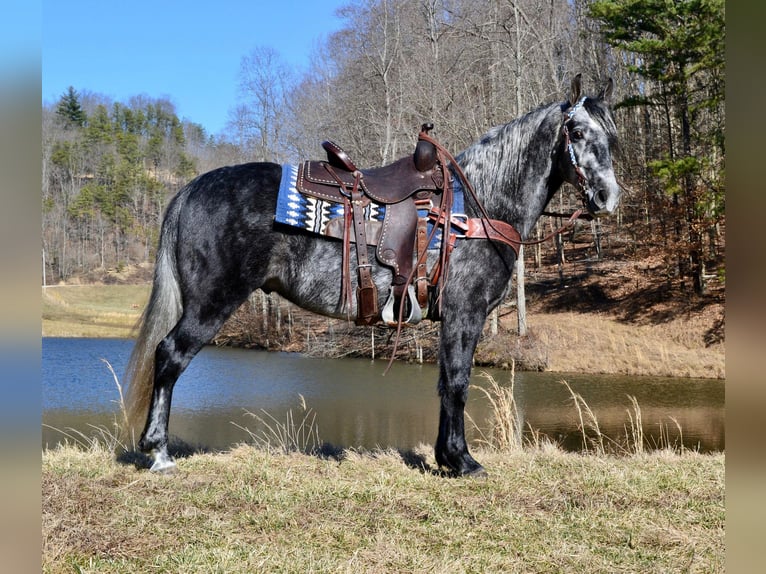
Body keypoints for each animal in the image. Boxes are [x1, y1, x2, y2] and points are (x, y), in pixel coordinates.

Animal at [123, 73, 620, 476]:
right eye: (577, 131)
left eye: (612, 139)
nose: (607, 197)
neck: (476, 207)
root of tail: (192, 189)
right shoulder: (466, 313)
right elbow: (458, 381)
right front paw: (461, 460)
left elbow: (446, 381)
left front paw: (446, 457)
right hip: (211, 302)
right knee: (169, 355)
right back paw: (158, 452)